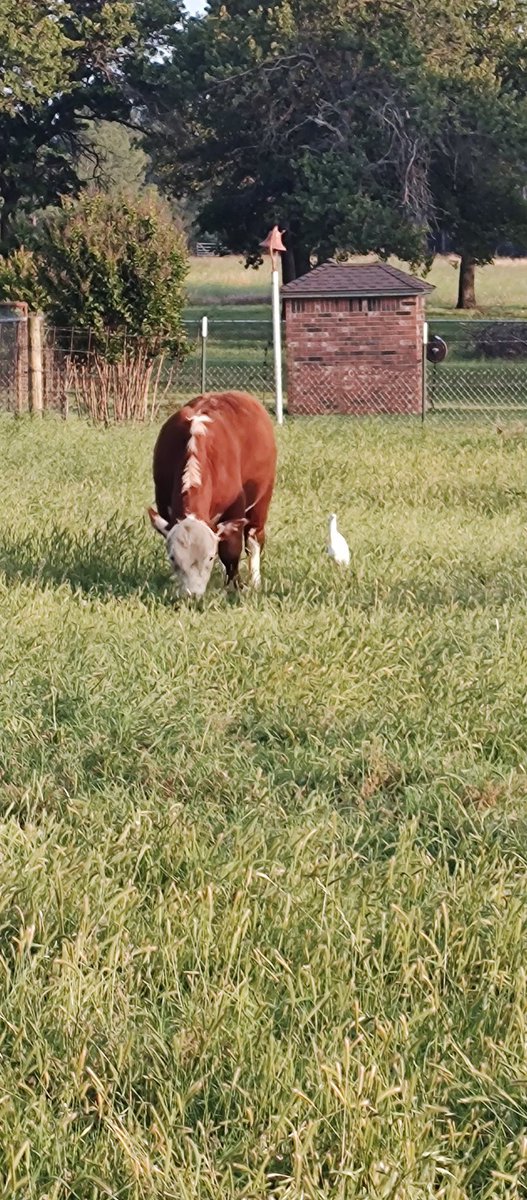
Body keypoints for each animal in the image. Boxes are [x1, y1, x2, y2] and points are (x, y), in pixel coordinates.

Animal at [148, 390, 277, 599]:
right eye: (173, 557)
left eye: (209, 557)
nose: (192, 594)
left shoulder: (235, 510)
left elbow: (231, 552)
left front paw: (235, 587)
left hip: (262, 499)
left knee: (254, 539)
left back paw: (255, 581)